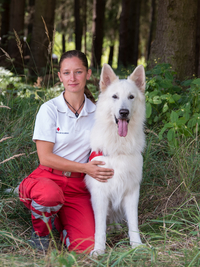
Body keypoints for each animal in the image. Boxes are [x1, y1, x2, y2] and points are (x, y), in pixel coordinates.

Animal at [84, 63, 145, 258]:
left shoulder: (132, 191)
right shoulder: (100, 194)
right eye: (115, 97)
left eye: (131, 97)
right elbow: (100, 228)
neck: (119, 147)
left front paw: (137, 246)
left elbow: (133, 223)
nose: (123, 112)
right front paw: (99, 250)